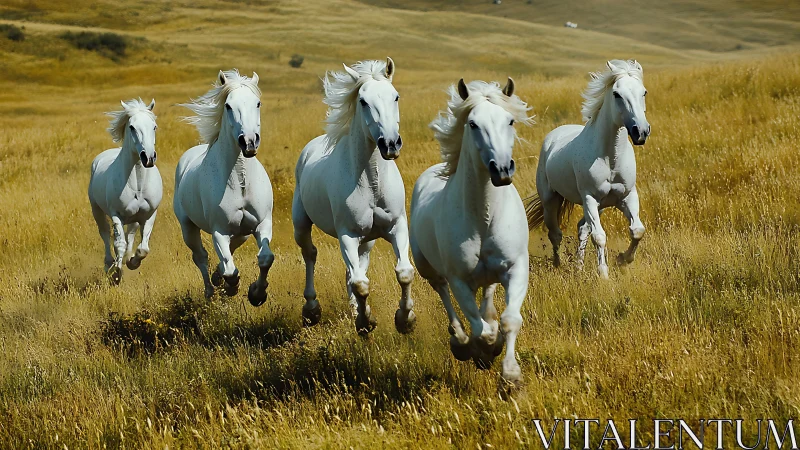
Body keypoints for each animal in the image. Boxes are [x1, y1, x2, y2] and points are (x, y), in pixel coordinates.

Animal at [88, 98, 162, 285]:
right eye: (132, 127)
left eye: (154, 126)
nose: (148, 158)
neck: (138, 185)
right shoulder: (117, 215)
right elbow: (118, 244)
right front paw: (116, 273)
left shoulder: (149, 215)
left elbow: (143, 248)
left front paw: (132, 262)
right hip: (97, 210)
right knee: (105, 234)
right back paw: (109, 263)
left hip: (134, 218)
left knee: (130, 236)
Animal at [174, 69, 274, 305]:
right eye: (228, 106)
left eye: (258, 103)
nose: (249, 142)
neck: (240, 183)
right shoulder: (218, 230)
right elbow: (230, 270)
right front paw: (231, 287)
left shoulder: (262, 223)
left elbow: (265, 258)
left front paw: (257, 294)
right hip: (187, 227)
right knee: (201, 257)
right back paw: (211, 290)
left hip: (243, 231)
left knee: (232, 247)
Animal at [292, 58, 416, 335]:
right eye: (363, 101)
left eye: (395, 96)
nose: (390, 144)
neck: (372, 184)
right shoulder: (347, 234)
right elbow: (361, 283)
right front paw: (366, 323)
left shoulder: (397, 226)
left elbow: (403, 272)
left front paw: (405, 320)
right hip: (301, 224)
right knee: (311, 255)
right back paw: (312, 310)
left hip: (367, 240)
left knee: (357, 267)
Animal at [410, 78, 532, 385]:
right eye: (473, 124)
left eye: (510, 120)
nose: (502, 170)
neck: (483, 218)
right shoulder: (459, 280)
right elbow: (482, 330)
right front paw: (483, 352)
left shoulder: (516, 268)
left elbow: (509, 321)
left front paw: (510, 376)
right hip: (428, 268)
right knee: (443, 292)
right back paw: (462, 343)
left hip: (489, 275)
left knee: (487, 293)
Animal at [525, 60, 650, 279]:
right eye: (617, 94)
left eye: (644, 92)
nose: (640, 132)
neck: (610, 159)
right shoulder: (590, 198)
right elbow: (599, 236)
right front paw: (604, 275)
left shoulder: (627, 196)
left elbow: (637, 230)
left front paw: (622, 260)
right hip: (551, 200)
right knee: (555, 234)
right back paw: (559, 265)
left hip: (598, 206)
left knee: (582, 228)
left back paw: (578, 266)